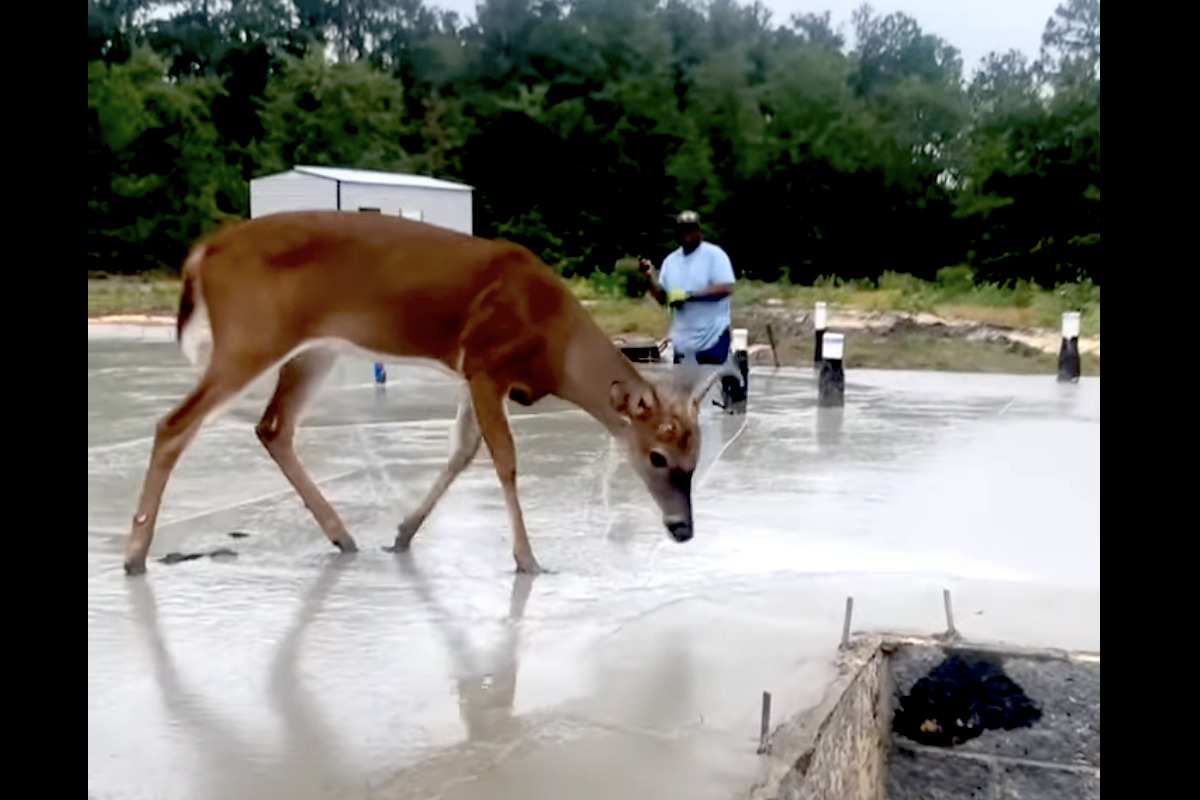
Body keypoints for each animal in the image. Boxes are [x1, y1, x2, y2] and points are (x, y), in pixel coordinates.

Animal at [125, 211, 715, 575]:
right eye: (657, 457)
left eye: (695, 459)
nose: (684, 530)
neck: (554, 344)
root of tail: (202, 253)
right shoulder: (486, 363)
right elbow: (503, 458)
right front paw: (528, 560)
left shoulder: (476, 374)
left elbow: (462, 451)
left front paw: (404, 533)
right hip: (251, 336)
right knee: (175, 422)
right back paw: (134, 553)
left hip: (314, 349)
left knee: (274, 426)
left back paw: (343, 536)